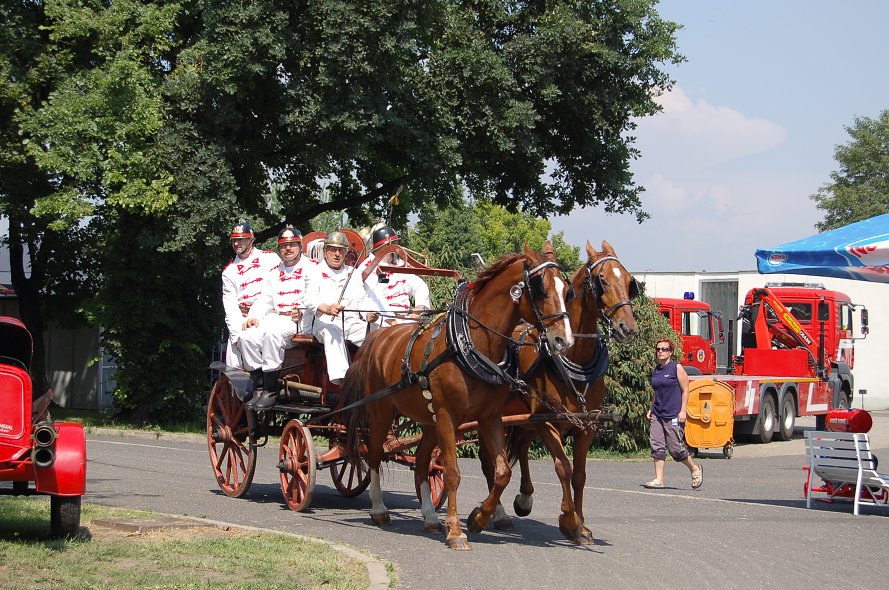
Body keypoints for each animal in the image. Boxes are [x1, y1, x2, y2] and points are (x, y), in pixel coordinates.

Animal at [340, 247, 576, 552]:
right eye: (540, 289)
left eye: (567, 291)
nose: (564, 340)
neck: (471, 344)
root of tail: (378, 336)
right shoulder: (446, 416)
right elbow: (452, 473)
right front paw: (455, 531)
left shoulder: (489, 417)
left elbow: (501, 472)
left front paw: (479, 517)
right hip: (381, 412)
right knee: (375, 455)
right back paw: (379, 510)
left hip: (428, 421)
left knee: (421, 463)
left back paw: (430, 517)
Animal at [478, 240, 640, 544]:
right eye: (601, 280)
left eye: (628, 281)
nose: (629, 328)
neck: (575, 360)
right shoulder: (548, 422)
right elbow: (563, 467)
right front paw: (569, 519)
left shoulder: (586, 426)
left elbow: (579, 475)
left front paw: (582, 526)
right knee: (488, 460)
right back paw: (498, 511)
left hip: (523, 419)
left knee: (520, 446)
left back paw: (523, 498)